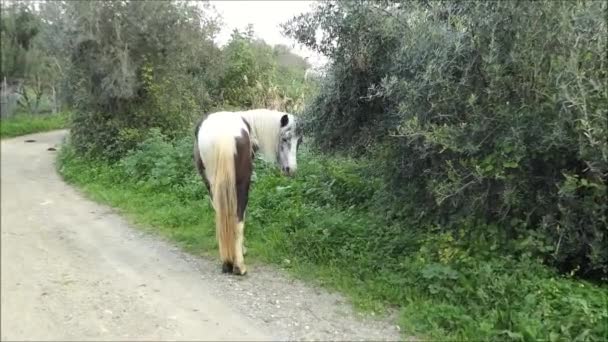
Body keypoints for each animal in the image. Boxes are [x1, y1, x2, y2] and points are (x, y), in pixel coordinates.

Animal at [192, 109, 302, 276]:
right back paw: (239, 266)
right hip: (241, 184)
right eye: (284, 138)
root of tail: (224, 134)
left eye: (299, 142)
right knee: (238, 218)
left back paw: (226, 262)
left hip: (211, 185)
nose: (291, 170)